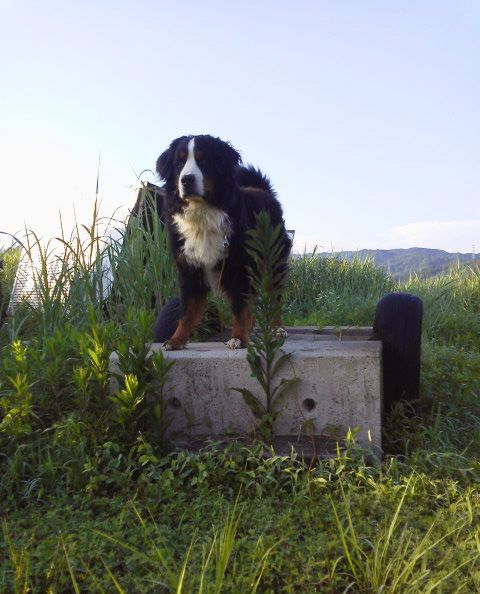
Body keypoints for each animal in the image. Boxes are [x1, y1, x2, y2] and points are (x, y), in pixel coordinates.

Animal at [156, 134, 288, 346]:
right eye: (179, 163)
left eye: (204, 160)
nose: (186, 179)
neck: (202, 213)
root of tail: (261, 190)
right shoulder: (189, 268)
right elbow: (186, 311)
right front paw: (177, 339)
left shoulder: (236, 266)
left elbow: (238, 307)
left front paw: (238, 337)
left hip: (272, 262)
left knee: (274, 296)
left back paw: (278, 329)